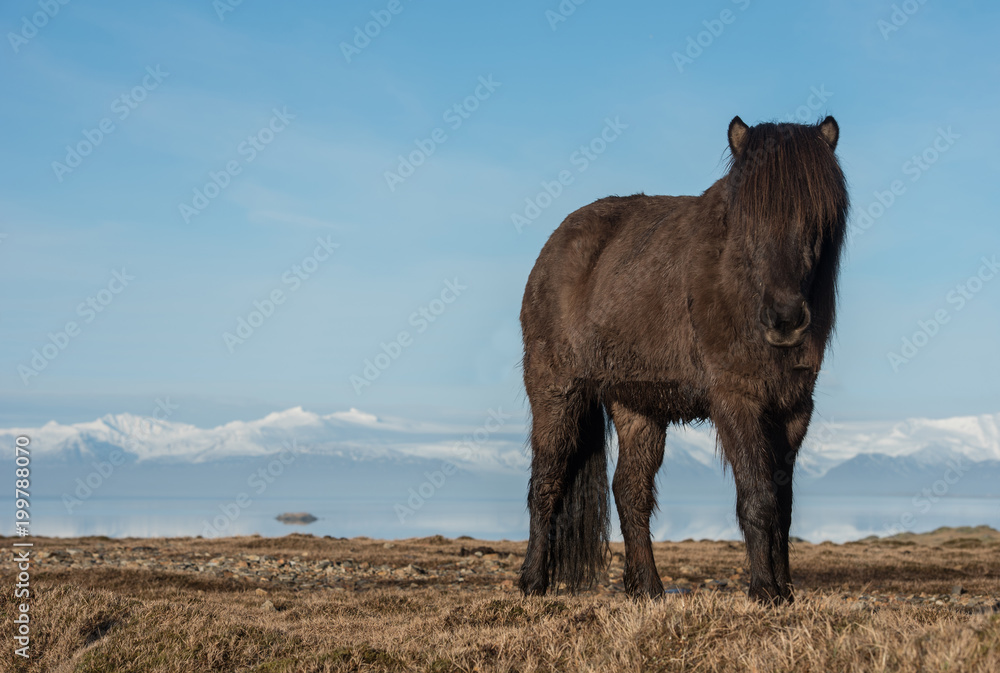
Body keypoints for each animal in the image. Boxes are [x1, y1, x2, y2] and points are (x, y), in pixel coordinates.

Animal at [520, 115, 848, 604]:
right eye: (747, 219)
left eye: (817, 217)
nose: (786, 319)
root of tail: (555, 244)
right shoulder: (735, 401)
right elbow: (758, 498)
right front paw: (764, 591)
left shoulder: (793, 410)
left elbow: (784, 504)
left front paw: (786, 592)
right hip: (557, 393)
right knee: (548, 481)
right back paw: (532, 582)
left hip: (637, 407)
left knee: (630, 491)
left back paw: (647, 589)